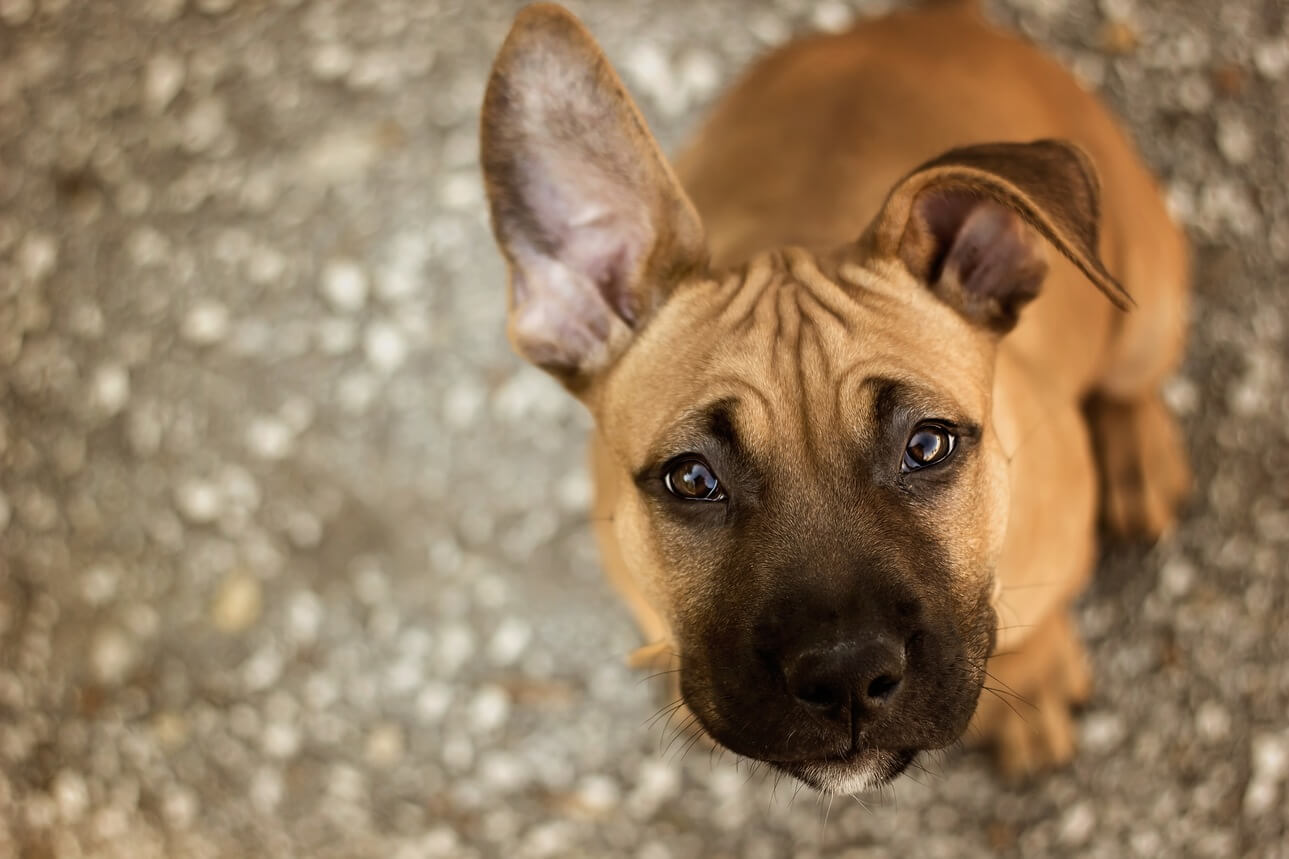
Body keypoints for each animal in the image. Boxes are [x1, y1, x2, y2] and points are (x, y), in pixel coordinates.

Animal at [476, 0, 1185, 789]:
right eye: (691, 478)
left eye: (927, 444)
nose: (847, 677)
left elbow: (1030, 633)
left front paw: (1033, 685)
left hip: (1147, 304)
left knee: (1131, 380)